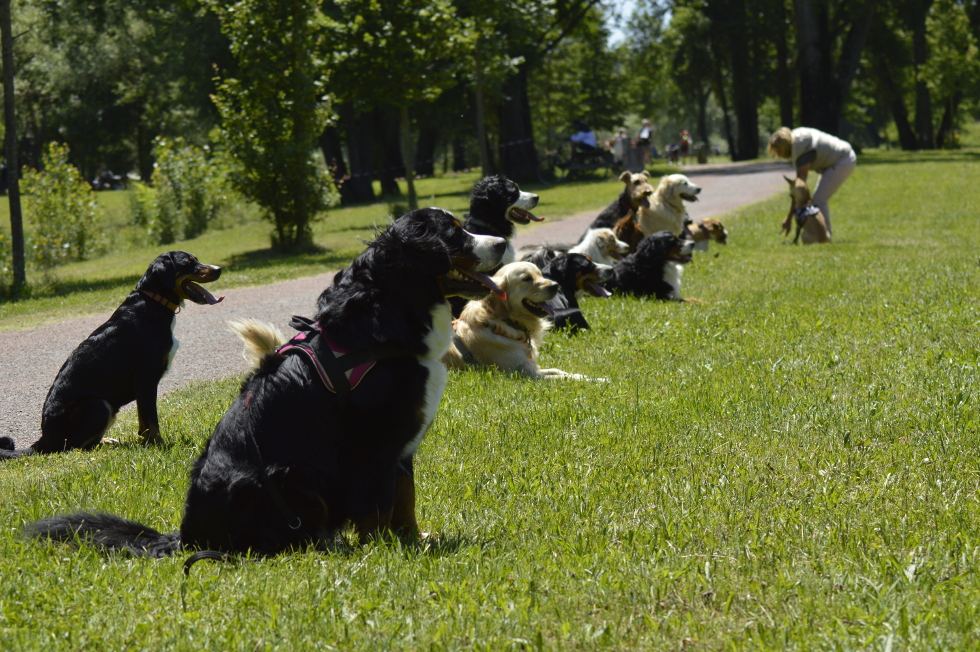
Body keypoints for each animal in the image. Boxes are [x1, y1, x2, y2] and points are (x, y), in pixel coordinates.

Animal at [0, 250, 224, 458]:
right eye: (188, 262)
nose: (219, 269)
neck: (154, 302)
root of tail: (43, 441)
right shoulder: (145, 379)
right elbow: (152, 421)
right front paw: (160, 446)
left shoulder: (143, 385)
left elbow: (144, 422)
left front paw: (147, 443)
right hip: (99, 404)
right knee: (72, 447)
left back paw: (107, 441)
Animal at [26, 209, 510, 560]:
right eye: (455, 234)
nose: (504, 241)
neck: (389, 309)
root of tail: (187, 537)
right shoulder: (374, 442)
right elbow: (378, 504)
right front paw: (386, 551)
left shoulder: (402, 442)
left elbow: (404, 499)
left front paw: (414, 539)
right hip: (291, 475)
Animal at [444, 262, 588, 380]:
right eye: (526, 278)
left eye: (540, 275)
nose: (556, 285)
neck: (505, 322)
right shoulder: (525, 374)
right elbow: (563, 378)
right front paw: (589, 380)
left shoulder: (531, 366)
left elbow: (557, 370)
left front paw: (584, 375)